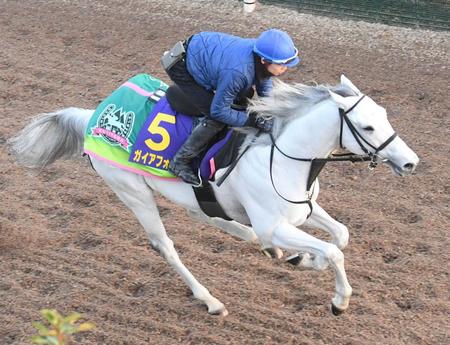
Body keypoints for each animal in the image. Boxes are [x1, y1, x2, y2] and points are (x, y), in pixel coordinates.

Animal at [8, 74, 420, 314]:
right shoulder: (274, 223)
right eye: (367, 126)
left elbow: (341, 235)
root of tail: (93, 117)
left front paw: (304, 260)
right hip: (132, 192)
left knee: (209, 215)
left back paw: (270, 249)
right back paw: (210, 300)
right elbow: (333, 251)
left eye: (385, 116)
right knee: (165, 245)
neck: (283, 157)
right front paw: (338, 299)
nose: (410, 162)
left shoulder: (303, 209)